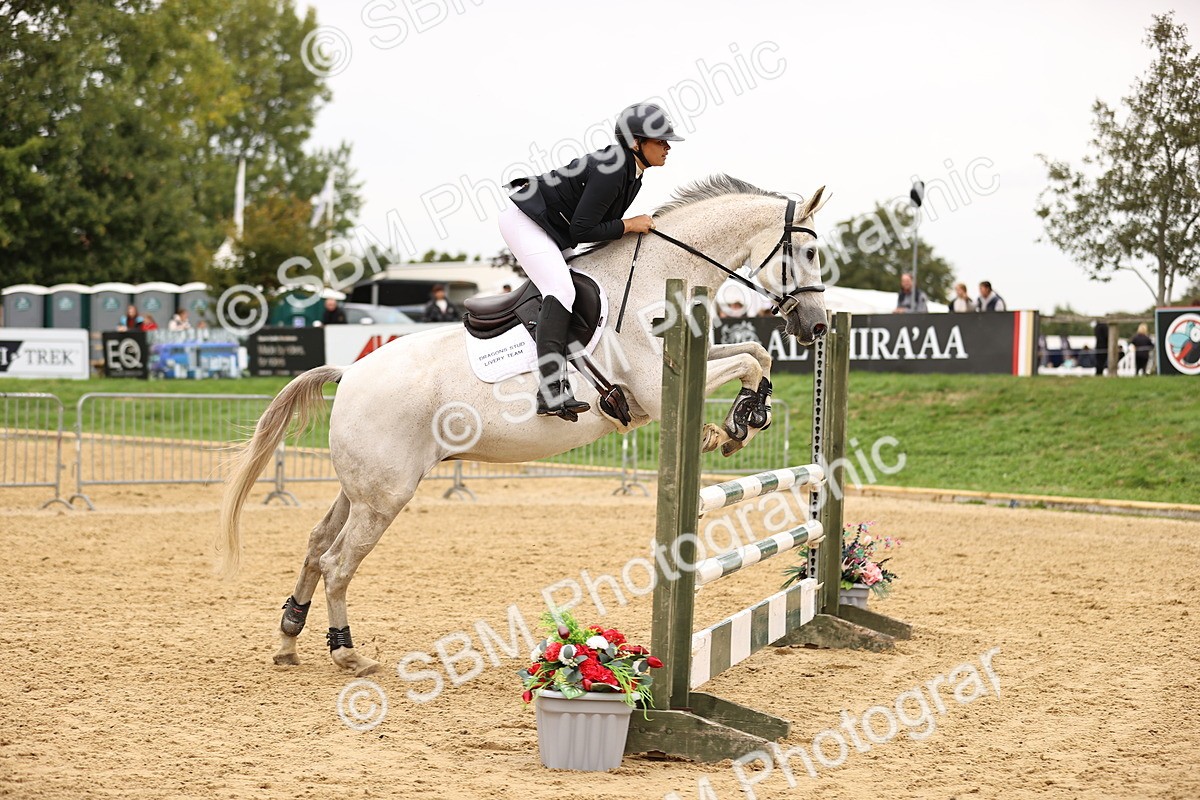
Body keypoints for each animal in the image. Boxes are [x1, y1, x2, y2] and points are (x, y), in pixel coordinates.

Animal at [219, 175, 830, 676]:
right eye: (806, 251)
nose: (818, 326)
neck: (656, 277)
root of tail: (348, 372)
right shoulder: (656, 390)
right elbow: (748, 358)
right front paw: (733, 424)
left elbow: (755, 352)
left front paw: (744, 417)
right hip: (384, 496)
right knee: (337, 561)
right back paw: (346, 652)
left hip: (361, 490)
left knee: (316, 544)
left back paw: (288, 638)